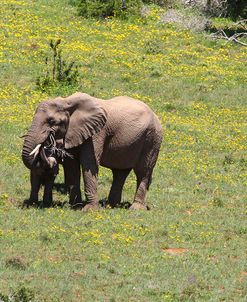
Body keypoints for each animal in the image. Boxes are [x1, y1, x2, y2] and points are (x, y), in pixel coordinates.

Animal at [22, 92, 163, 210]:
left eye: (52, 121)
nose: (45, 144)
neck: (67, 102)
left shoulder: (97, 133)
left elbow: (89, 164)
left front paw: (89, 210)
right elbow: (72, 166)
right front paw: (75, 206)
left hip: (152, 138)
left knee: (143, 172)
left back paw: (135, 209)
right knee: (120, 172)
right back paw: (111, 205)